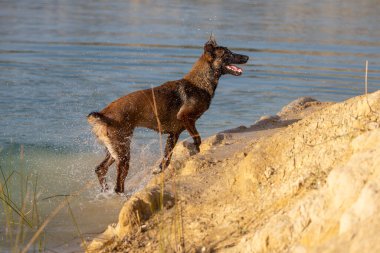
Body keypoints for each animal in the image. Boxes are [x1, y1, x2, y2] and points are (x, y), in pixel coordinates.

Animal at [87, 36, 248, 193]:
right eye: (227, 54)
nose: (247, 57)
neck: (199, 83)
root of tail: (103, 115)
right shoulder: (186, 118)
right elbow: (197, 139)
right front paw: (195, 152)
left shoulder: (174, 134)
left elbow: (167, 159)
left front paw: (159, 169)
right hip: (123, 152)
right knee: (118, 185)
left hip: (115, 150)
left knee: (100, 169)